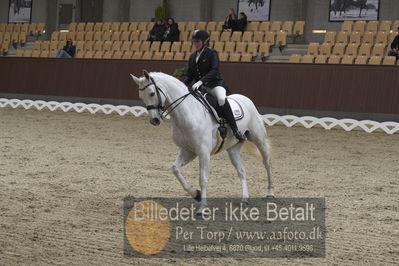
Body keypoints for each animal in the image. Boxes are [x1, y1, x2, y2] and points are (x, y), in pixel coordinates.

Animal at [131, 70, 276, 216]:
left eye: (152, 93)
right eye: (141, 96)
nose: (154, 120)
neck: (188, 114)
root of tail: (246, 99)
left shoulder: (203, 152)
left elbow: (203, 178)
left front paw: (202, 208)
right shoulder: (188, 151)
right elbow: (175, 169)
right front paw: (196, 194)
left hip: (259, 139)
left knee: (267, 163)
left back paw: (270, 193)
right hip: (233, 148)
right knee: (241, 170)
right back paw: (245, 199)